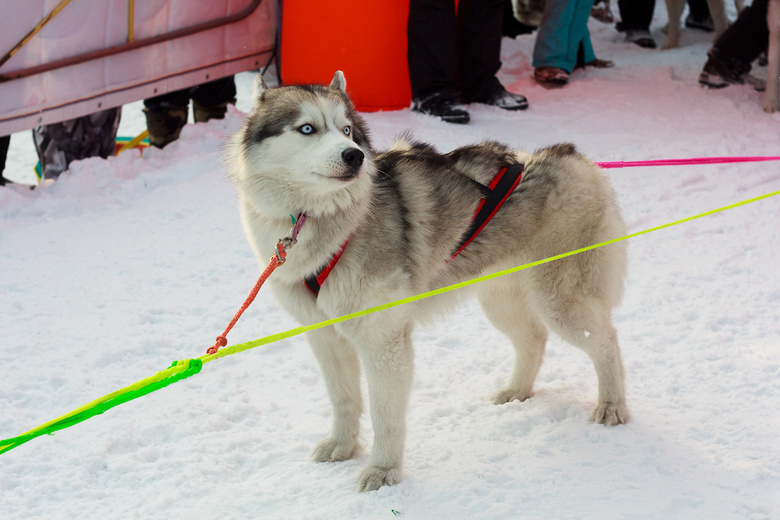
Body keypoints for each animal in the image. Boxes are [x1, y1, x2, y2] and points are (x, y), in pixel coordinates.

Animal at [229, 72, 632, 492]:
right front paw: (343, 445)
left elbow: (384, 413)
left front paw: (383, 470)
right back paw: (517, 391)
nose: (354, 155)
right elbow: (343, 398)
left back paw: (611, 404)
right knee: (534, 338)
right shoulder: (325, 337)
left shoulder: (384, 339)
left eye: (347, 130)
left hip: (560, 300)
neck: (321, 222)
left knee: (606, 341)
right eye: (307, 128)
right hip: (501, 300)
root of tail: (574, 157)